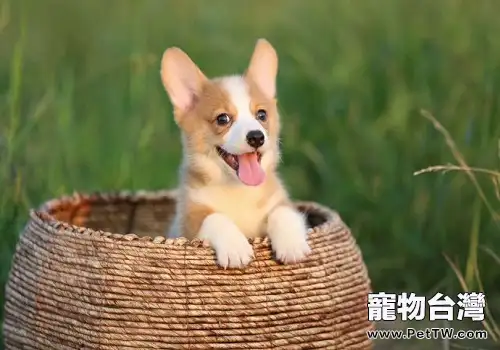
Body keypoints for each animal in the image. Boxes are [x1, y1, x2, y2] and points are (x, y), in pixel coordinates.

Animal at [160, 39, 310, 268]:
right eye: (223, 119)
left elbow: (284, 213)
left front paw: (292, 245)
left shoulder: (279, 201)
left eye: (261, 114)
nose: (256, 137)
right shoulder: (190, 219)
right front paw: (235, 248)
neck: (238, 189)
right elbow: (216, 218)